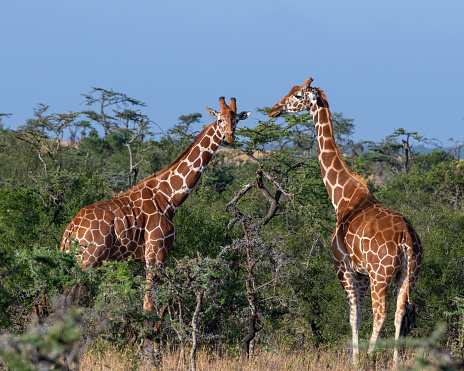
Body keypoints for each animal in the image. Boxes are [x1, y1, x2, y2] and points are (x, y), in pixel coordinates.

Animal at [61, 96, 250, 334]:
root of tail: (71, 229)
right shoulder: (156, 253)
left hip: (75, 260)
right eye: (220, 120)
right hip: (88, 260)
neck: (169, 198)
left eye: (236, 120)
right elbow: (149, 306)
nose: (230, 136)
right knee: (71, 302)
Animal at [268, 78, 424, 364]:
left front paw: (355, 359)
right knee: (400, 312)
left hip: (380, 274)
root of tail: (406, 237)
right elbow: (358, 316)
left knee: (381, 312)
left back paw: (371, 357)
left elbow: (354, 317)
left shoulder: (345, 267)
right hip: (409, 274)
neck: (342, 197)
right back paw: (396, 360)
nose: (273, 110)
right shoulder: (361, 273)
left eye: (298, 95)